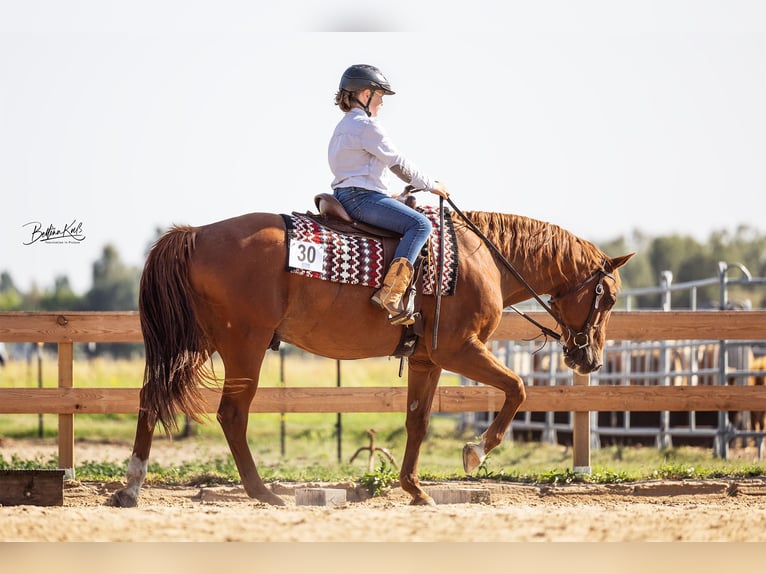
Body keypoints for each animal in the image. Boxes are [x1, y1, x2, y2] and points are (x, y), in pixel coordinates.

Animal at [108, 204, 636, 508]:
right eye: (609, 297)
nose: (591, 361)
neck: (481, 257)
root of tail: (196, 234)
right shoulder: (460, 349)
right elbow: (517, 388)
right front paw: (474, 452)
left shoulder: (427, 359)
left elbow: (417, 421)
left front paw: (415, 489)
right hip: (244, 346)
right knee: (232, 415)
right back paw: (264, 492)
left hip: (197, 344)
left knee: (150, 398)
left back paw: (131, 488)